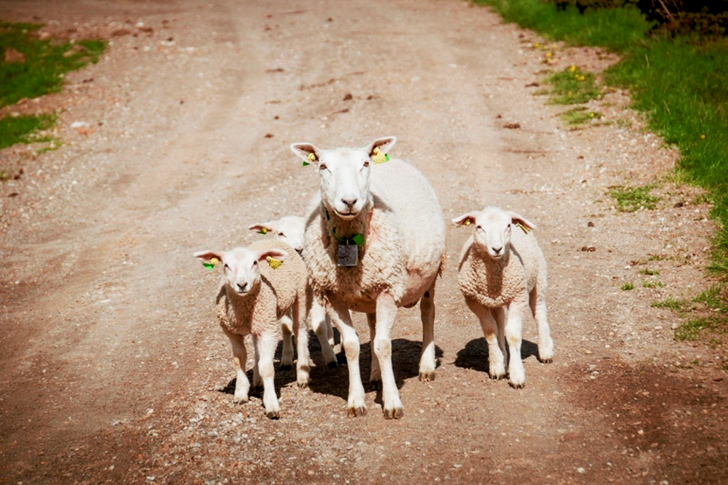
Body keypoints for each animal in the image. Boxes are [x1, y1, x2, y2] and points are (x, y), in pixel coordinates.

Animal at [194, 239, 309, 419]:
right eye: (226, 265)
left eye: (254, 263)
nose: (242, 284)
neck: (243, 308)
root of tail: (275, 239)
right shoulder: (232, 332)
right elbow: (239, 359)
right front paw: (241, 393)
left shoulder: (268, 330)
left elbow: (267, 367)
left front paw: (271, 404)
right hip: (258, 324)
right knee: (257, 347)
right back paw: (258, 380)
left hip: (300, 296)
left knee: (300, 331)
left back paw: (302, 375)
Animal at [248, 216, 338, 368]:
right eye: (281, 233)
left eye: (304, 231)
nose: (298, 249)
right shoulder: (285, 297)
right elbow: (286, 327)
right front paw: (286, 358)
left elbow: (319, 327)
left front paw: (329, 356)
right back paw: (331, 339)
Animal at [290, 136, 446, 419]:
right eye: (323, 166)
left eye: (364, 164)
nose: (349, 201)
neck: (350, 239)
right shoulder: (333, 294)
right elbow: (353, 345)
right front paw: (356, 401)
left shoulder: (387, 288)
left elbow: (384, 345)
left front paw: (392, 402)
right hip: (370, 292)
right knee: (373, 329)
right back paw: (375, 376)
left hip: (429, 274)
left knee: (428, 313)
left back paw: (426, 366)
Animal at [452, 206, 554, 388]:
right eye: (479, 226)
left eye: (507, 226)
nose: (497, 248)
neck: (493, 279)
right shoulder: (474, 302)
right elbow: (490, 331)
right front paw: (497, 367)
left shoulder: (518, 297)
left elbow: (513, 334)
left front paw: (517, 376)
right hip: (496, 303)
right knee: (499, 323)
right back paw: (504, 358)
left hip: (538, 279)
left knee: (539, 312)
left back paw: (545, 351)